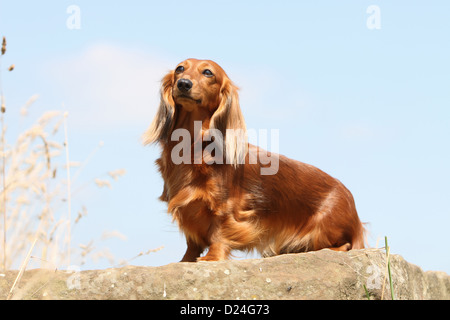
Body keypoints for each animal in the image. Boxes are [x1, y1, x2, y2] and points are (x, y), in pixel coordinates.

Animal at [144, 58, 366, 262]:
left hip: (323, 229)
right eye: (179, 69)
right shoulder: (189, 207)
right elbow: (192, 242)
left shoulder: (225, 205)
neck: (192, 145)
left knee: (345, 245)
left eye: (208, 72)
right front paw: (186, 260)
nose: (183, 84)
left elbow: (219, 231)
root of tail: (354, 213)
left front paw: (211, 257)